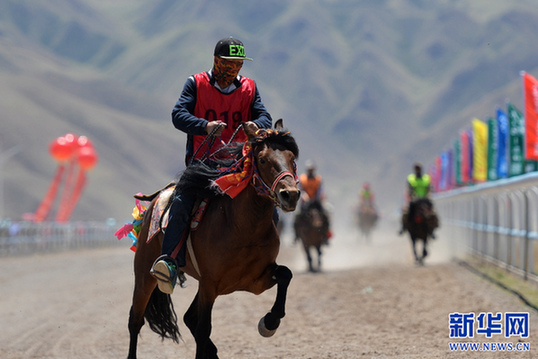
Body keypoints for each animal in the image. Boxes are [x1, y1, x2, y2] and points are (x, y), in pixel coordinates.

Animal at [127, 119, 300, 358]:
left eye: (292, 159)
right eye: (263, 159)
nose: (290, 195)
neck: (242, 228)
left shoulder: (256, 280)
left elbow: (286, 275)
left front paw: (269, 322)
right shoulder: (210, 284)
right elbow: (203, 328)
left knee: (188, 317)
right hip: (145, 274)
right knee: (136, 320)